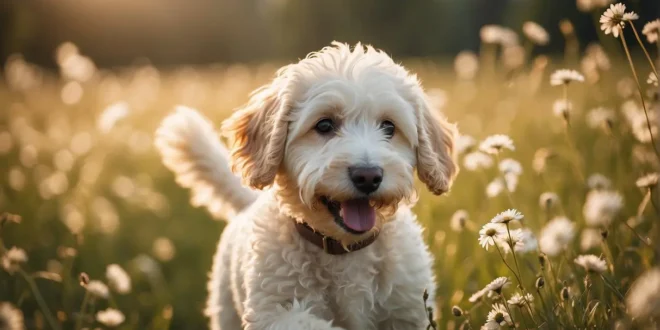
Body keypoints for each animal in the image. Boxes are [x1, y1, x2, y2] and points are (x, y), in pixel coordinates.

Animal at [155, 42, 458, 328]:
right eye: (324, 125)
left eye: (389, 127)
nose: (368, 176)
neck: (345, 250)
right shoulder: (273, 312)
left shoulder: (409, 311)